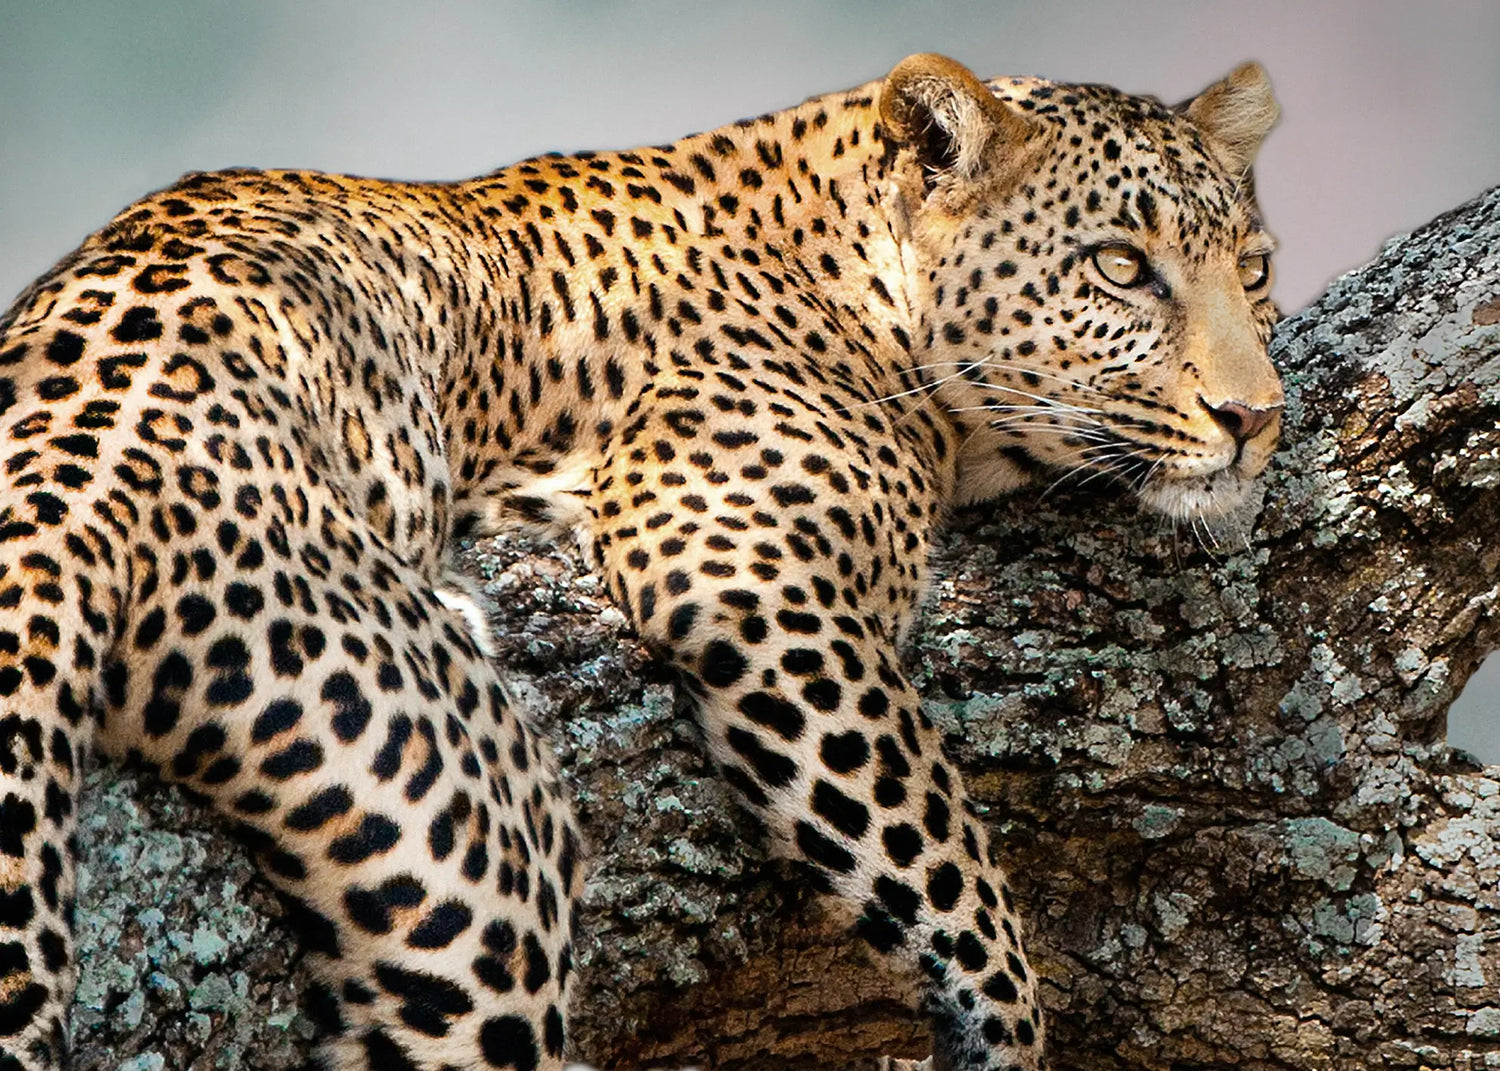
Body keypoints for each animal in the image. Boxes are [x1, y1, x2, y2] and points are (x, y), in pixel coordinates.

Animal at [0, 53, 1282, 1071]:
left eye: (1256, 268)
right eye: (1121, 267)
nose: (1256, 417)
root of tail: (55, 469)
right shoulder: (742, 566)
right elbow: (942, 847)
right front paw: (1000, 1032)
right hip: (464, 841)